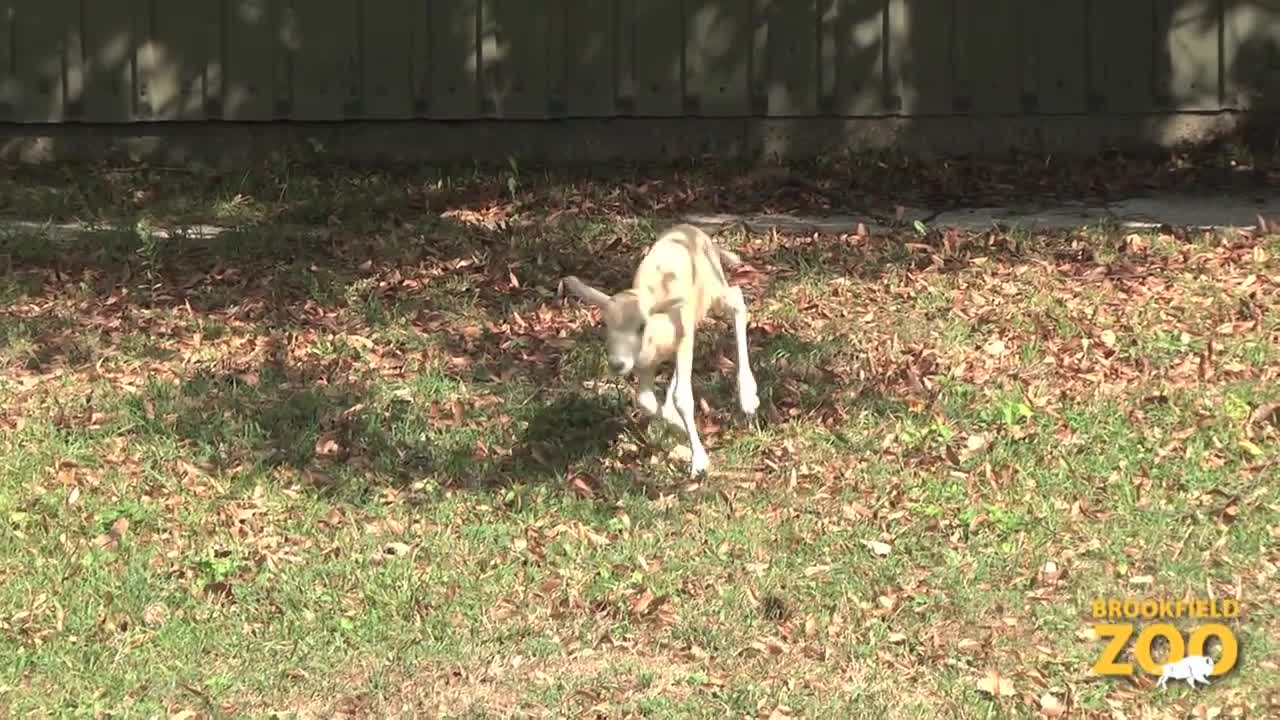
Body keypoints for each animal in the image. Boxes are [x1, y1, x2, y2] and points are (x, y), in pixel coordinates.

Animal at [563, 221, 757, 474]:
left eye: (641, 325)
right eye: (605, 324)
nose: (617, 364)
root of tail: (692, 229)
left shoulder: (683, 339)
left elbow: (682, 398)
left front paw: (699, 461)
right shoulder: (643, 364)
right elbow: (645, 401)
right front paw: (675, 423)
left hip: (713, 288)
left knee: (736, 299)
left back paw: (748, 396)